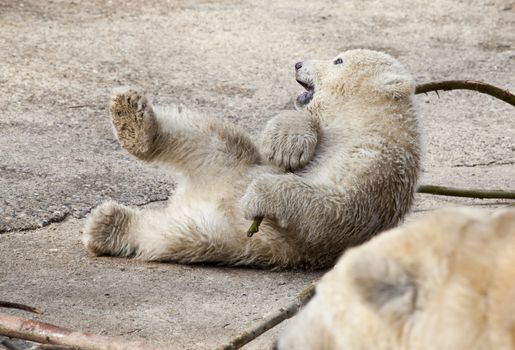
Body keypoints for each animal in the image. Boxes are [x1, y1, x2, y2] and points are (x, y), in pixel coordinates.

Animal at [84, 48, 422, 268]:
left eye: (338, 59)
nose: (298, 63)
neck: (364, 123)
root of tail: (194, 195)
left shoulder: (380, 167)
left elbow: (337, 207)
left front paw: (258, 195)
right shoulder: (330, 131)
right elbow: (294, 130)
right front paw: (286, 143)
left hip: (229, 234)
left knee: (176, 234)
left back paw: (107, 224)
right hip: (231, 163)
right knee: (205, 135)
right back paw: (131, 120)